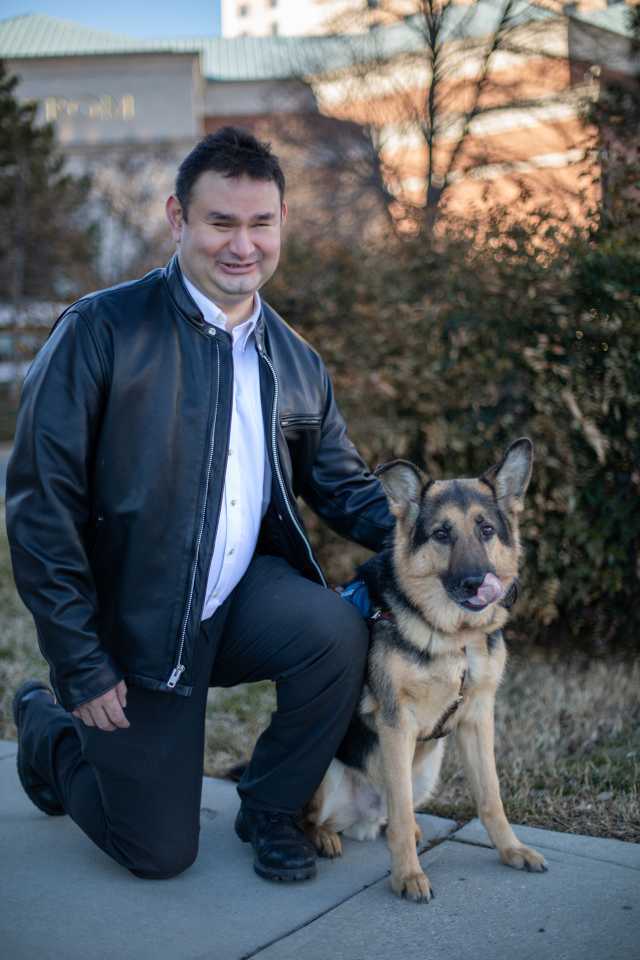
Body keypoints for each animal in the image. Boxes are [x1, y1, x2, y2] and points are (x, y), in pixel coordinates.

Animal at [302, 438, 548, 904]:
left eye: (486, 530)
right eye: (441, 534)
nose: (476, 582)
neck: (454, 637)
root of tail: (362, 820)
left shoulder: (477, 720)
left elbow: (491, 798)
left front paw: (512, 850)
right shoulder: (397, 723)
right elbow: (398, 816)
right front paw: (408, 876)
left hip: (429, 767)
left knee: (393, 814)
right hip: (327, 772)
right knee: (314, 817)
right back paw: (322, 838)